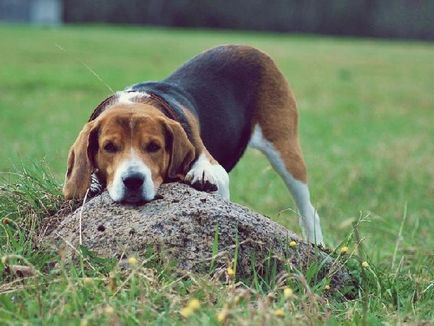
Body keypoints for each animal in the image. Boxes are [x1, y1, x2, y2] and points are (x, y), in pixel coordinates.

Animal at [62, 45, 324, 244]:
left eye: (154, 146)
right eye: (109, 147)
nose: (133, 181)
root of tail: (251, 48)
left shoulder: (218, 173)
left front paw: (201, 174)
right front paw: (92, 181)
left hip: (284, 150)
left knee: (308, 209)